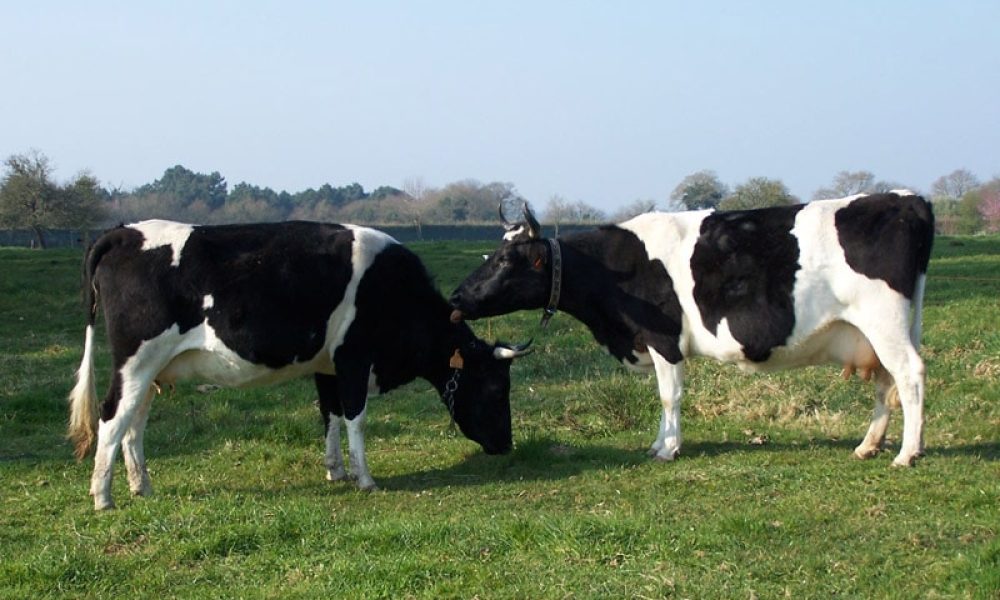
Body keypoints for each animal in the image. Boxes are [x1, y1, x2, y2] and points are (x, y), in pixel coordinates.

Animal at [68, 219, 531, 510]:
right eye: (496, 388)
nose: (507, 445)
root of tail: (123, 232)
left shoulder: (326, 366)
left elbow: (330, 415)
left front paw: (336, 471)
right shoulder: (353, 357)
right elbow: (355, 417)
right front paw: (365, 478)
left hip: (151, 369)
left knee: (134, 423)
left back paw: (141, 486)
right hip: (136, 359)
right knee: (112, 416)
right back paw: (103, 496)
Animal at [450, 192, 934, 467]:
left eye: (506, 260)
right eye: (491, 254)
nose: (455, 298)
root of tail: (909, 199)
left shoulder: (664, 340)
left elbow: (670, 395)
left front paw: (668, 448)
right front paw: (658, 444)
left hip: (884, 319)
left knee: (909, 375)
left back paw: (907, 453)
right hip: (878, 330)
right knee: (887, 382)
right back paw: (869, 445)